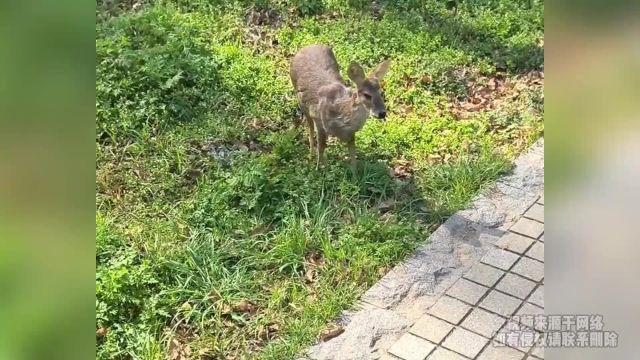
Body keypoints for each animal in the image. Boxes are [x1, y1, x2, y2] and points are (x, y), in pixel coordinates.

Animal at [290, 44, 390, 172]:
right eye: (367, 95)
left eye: (381, 92)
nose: (382, 113)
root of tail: (307, 46)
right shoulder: (318, 120)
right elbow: (320, 148)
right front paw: (318, 169)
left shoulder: (351, 133)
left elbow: (353, 155)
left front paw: (355, 175)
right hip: (301, 102)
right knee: (310, 127)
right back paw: (311, 155)